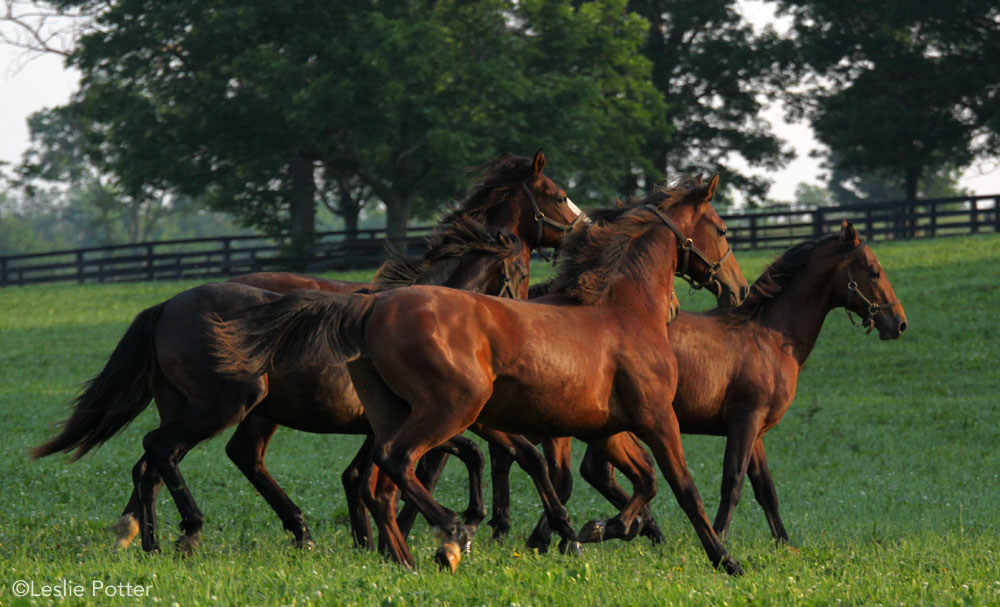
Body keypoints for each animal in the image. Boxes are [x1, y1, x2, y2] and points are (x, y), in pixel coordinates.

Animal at [33, 148, 580, 556]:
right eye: (557, 195)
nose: (519, 316)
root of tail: (168, 304)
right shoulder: (443, 417)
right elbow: (499, 456)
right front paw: (494, 527)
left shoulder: (414, 423)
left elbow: (395, 471)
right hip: (227, 404)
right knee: (163, 450)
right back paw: (188, 530)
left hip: (215, 409)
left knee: (163, 461)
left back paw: (157, 539)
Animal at [211, 175, 752, 576]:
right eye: (723, 231)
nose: (738, 290)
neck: (624, 310)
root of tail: (371, 307)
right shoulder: (657, 418)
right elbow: (682, 487)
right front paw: (725, 560)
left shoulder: (606, 428)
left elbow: (642, 483)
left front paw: (599, 529)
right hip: (450, 409)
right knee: (396, 461)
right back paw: (450, 535)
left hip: (392, 415)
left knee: (379, 482)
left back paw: (407, 559)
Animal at [500, 220, 908, 552]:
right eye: (874, 271)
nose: (899, 323)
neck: (769, 337)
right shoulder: (745, 421)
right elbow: (733, 482)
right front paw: (718, 537)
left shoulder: (755, 429)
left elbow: (765, 489)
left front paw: (783, 542)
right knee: (573, 474)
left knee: (586, 474)